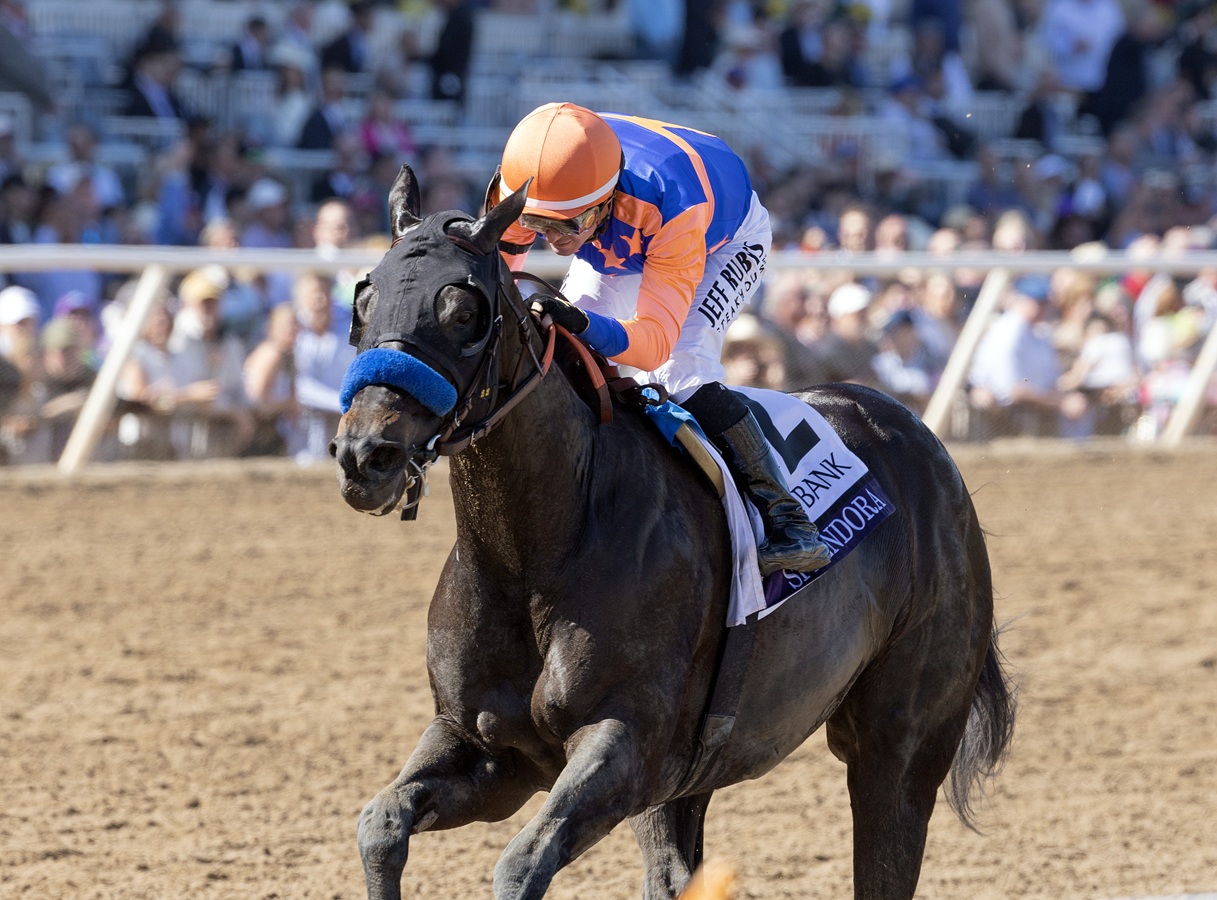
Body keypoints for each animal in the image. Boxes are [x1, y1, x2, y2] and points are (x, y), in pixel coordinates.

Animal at [330, 164, 1016, 900]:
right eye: (364, 300)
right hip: (691, 779)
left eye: (463, 311)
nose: (365, 455)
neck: (535, 550)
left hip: (898, 746)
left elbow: (519, 864)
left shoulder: (625, 745)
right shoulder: (488, 748)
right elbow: (380, 824)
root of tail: (917, 436)